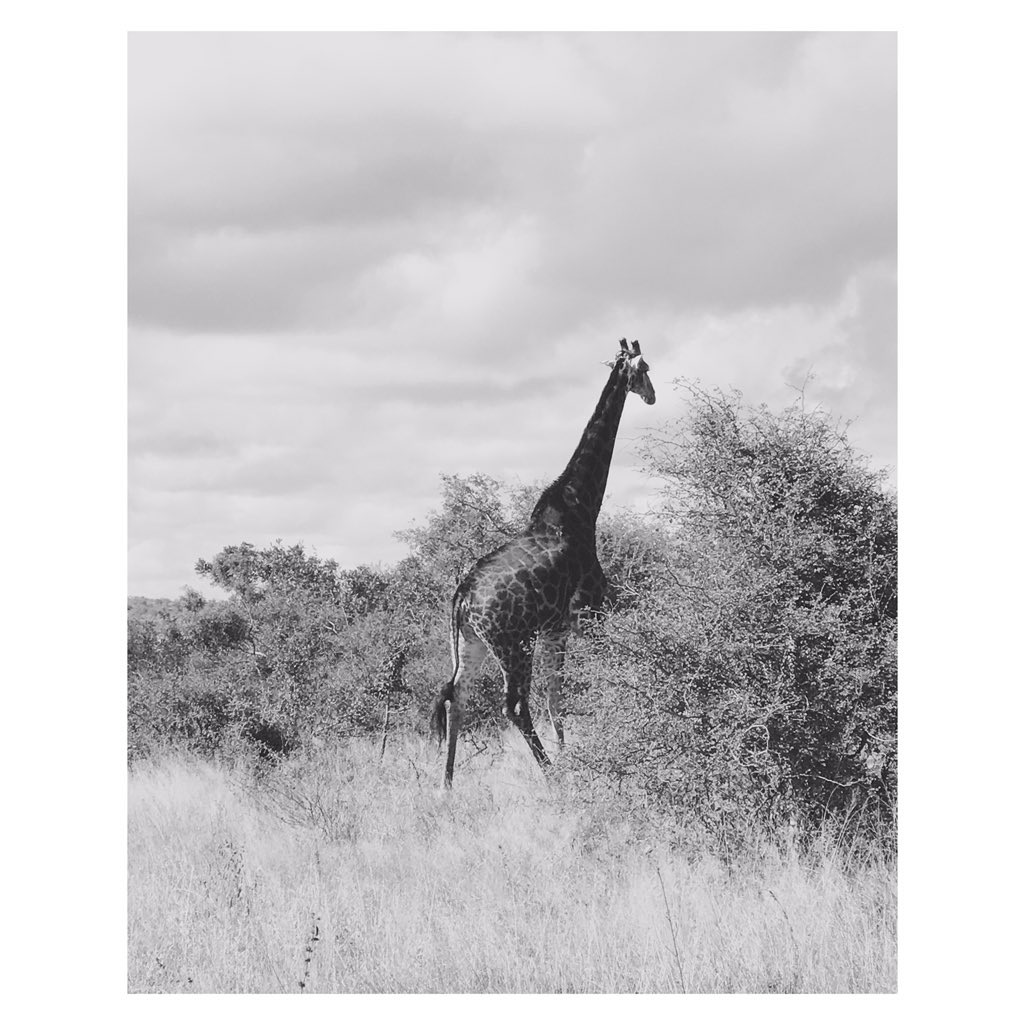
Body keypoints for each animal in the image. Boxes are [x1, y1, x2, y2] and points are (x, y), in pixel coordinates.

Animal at [430, 338, 656, 786]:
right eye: (645, 369)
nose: (652, 395)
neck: (581, 508)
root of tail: (462, 598)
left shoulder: (556, 627)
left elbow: (556, 698)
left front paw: (573, 757)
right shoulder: (589, 612)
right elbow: (600, 676)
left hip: (471, 643)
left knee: (457, 698)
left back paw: (446, 786)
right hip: (513, 644)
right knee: (513, 705)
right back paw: (550, 776)